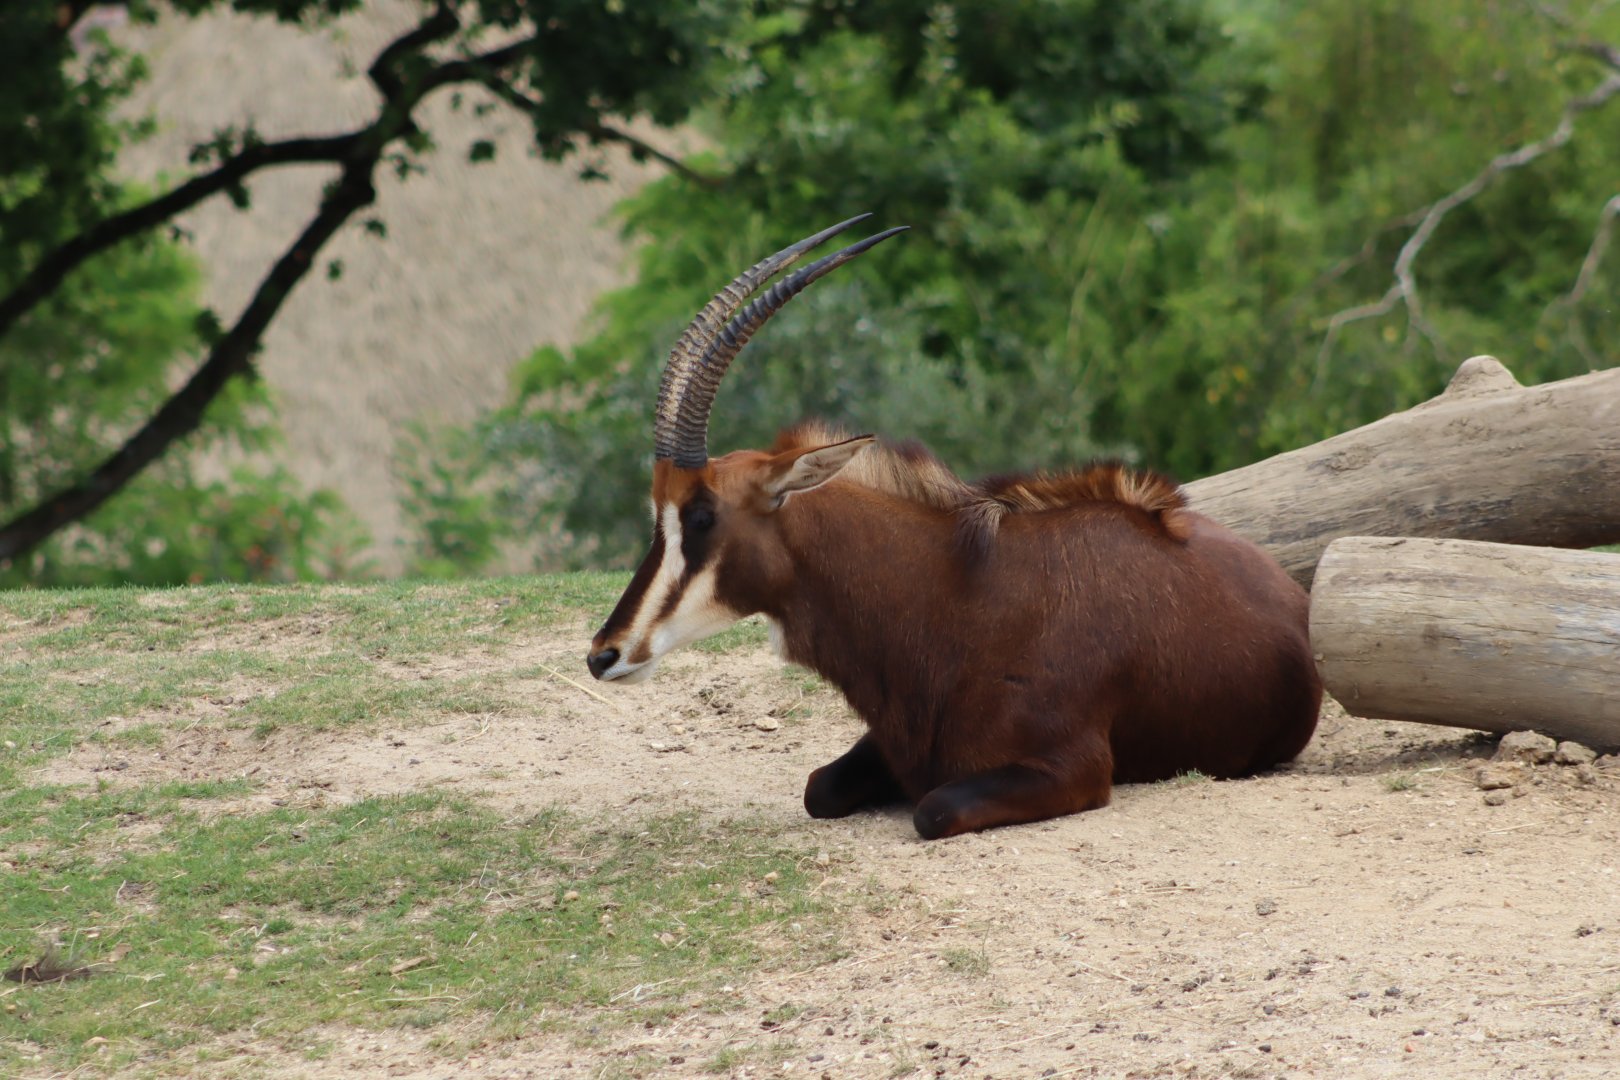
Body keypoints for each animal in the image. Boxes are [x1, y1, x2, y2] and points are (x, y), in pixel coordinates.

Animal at [586, 216, 1322, 840]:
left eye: (702, 515)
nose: (604, 654)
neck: (957, 598)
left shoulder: (1072, 770)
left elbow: (932, 808)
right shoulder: (890, 743)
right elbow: (819, 787)